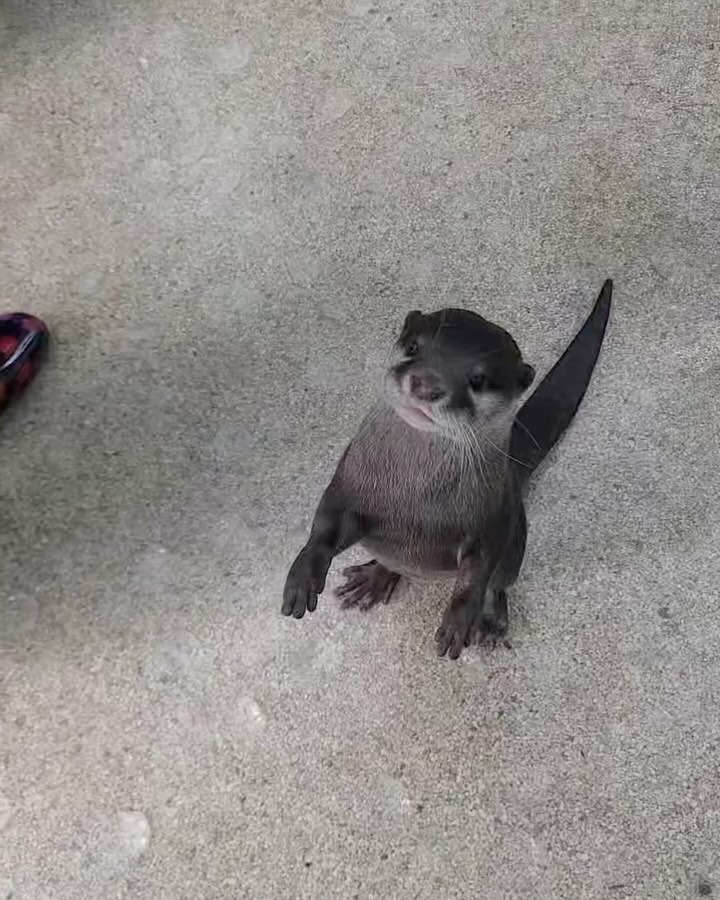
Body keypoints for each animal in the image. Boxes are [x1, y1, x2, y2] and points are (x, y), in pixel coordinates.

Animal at [281, 280, 612, 658]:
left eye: (478, 379)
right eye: (413, 346)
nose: (427, 383)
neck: (411, 500)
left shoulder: (491, 522)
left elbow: (478, 571)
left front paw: (459, 618)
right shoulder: (346, 483)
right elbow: (326, 524)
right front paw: (303, 576)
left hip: (517, 542)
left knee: (500, 582)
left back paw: (492, 623)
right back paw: (374, 579)